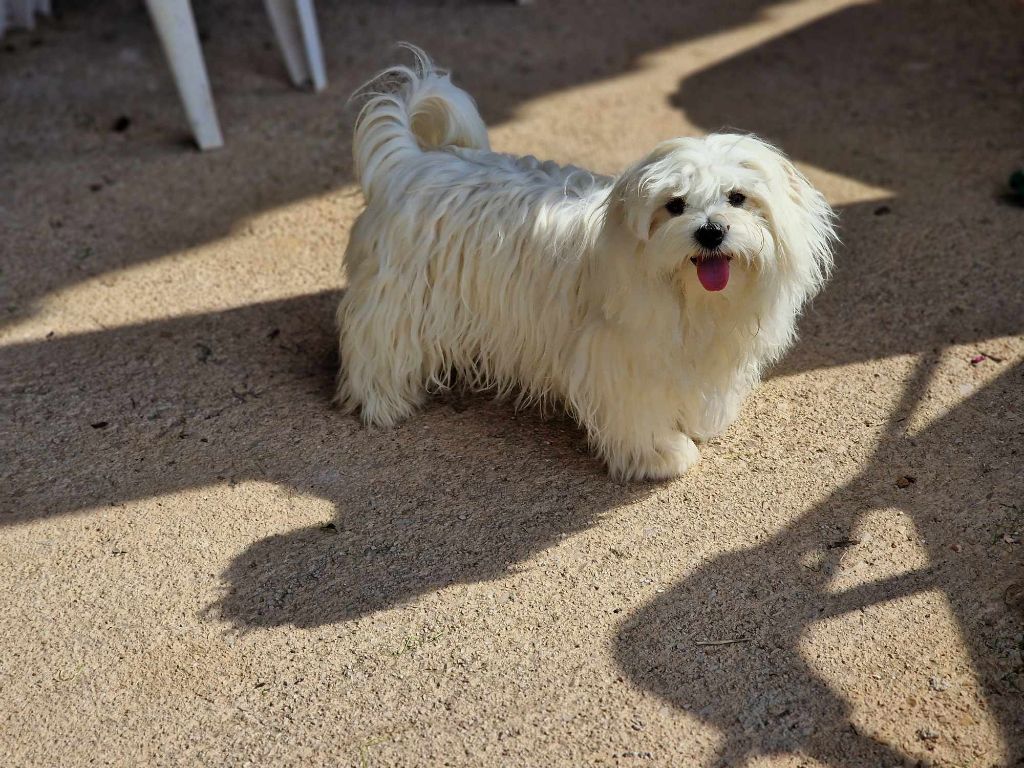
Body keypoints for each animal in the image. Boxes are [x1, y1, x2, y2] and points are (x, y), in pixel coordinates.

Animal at [339, 46, 835, 481]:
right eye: (674, 205)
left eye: (737, 197)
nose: (711, 231)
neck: (691, 298)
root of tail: (411, 161)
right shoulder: (622, 356)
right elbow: (638, 413)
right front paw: (660, 455)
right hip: (398, 299)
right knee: (376, 346)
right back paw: (383, 404)